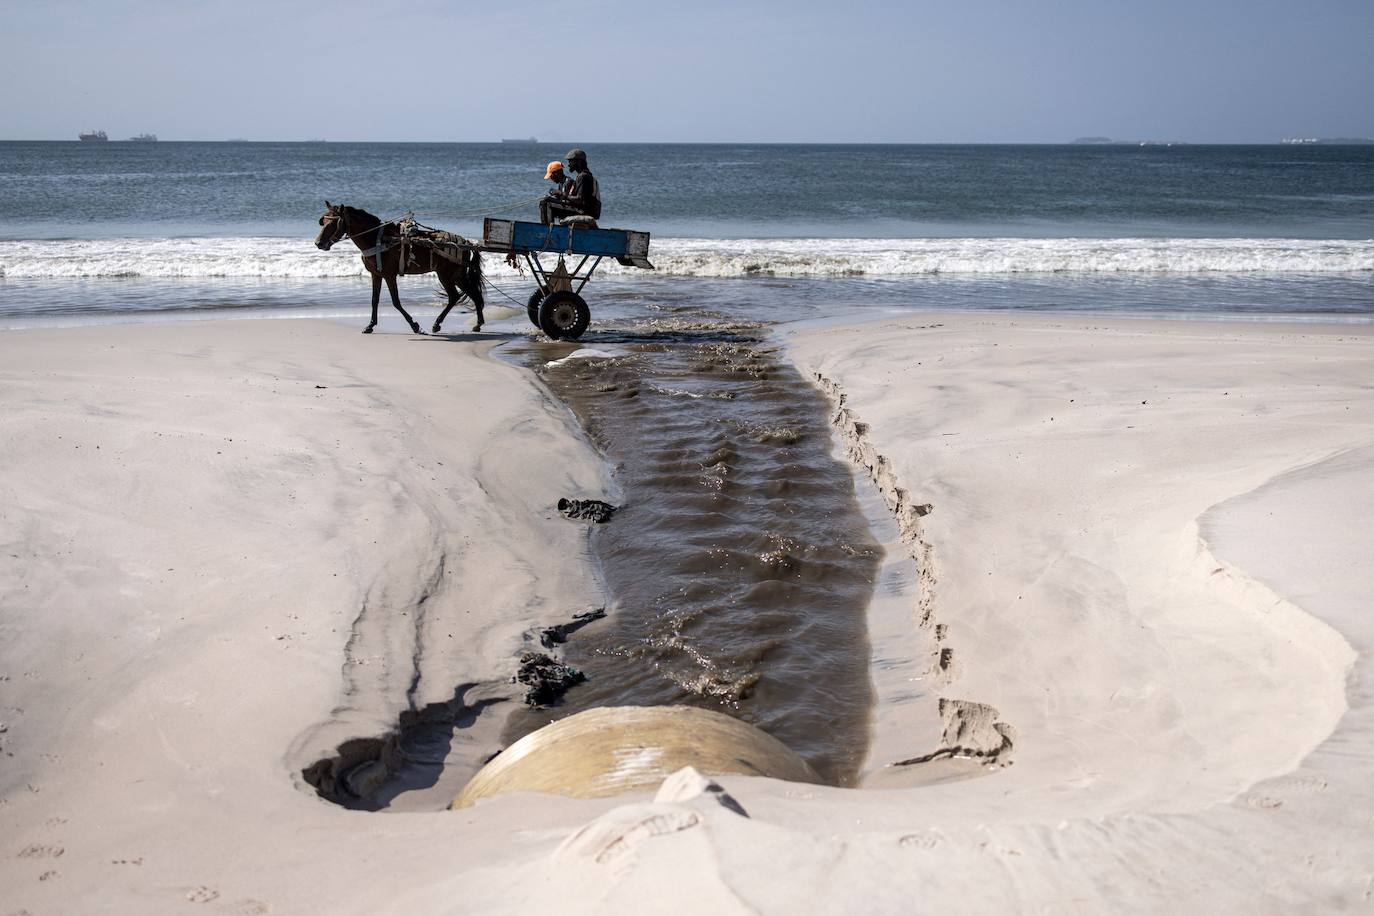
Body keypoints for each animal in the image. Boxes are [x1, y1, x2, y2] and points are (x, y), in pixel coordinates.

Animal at [314, 201, 486, 335]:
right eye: (323, 221)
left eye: (333, 223)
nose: (318, 243)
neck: (377, 239)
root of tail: (466, 243)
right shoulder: (376, 275)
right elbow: (374, 300)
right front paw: (370, 325)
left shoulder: (390, 275)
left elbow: (396, 301)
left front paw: (415, 326)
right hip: (457, 275)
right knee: (474, 294)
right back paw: (477, 323)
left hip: (445, 275)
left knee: (454, 296)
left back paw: (437, 324)